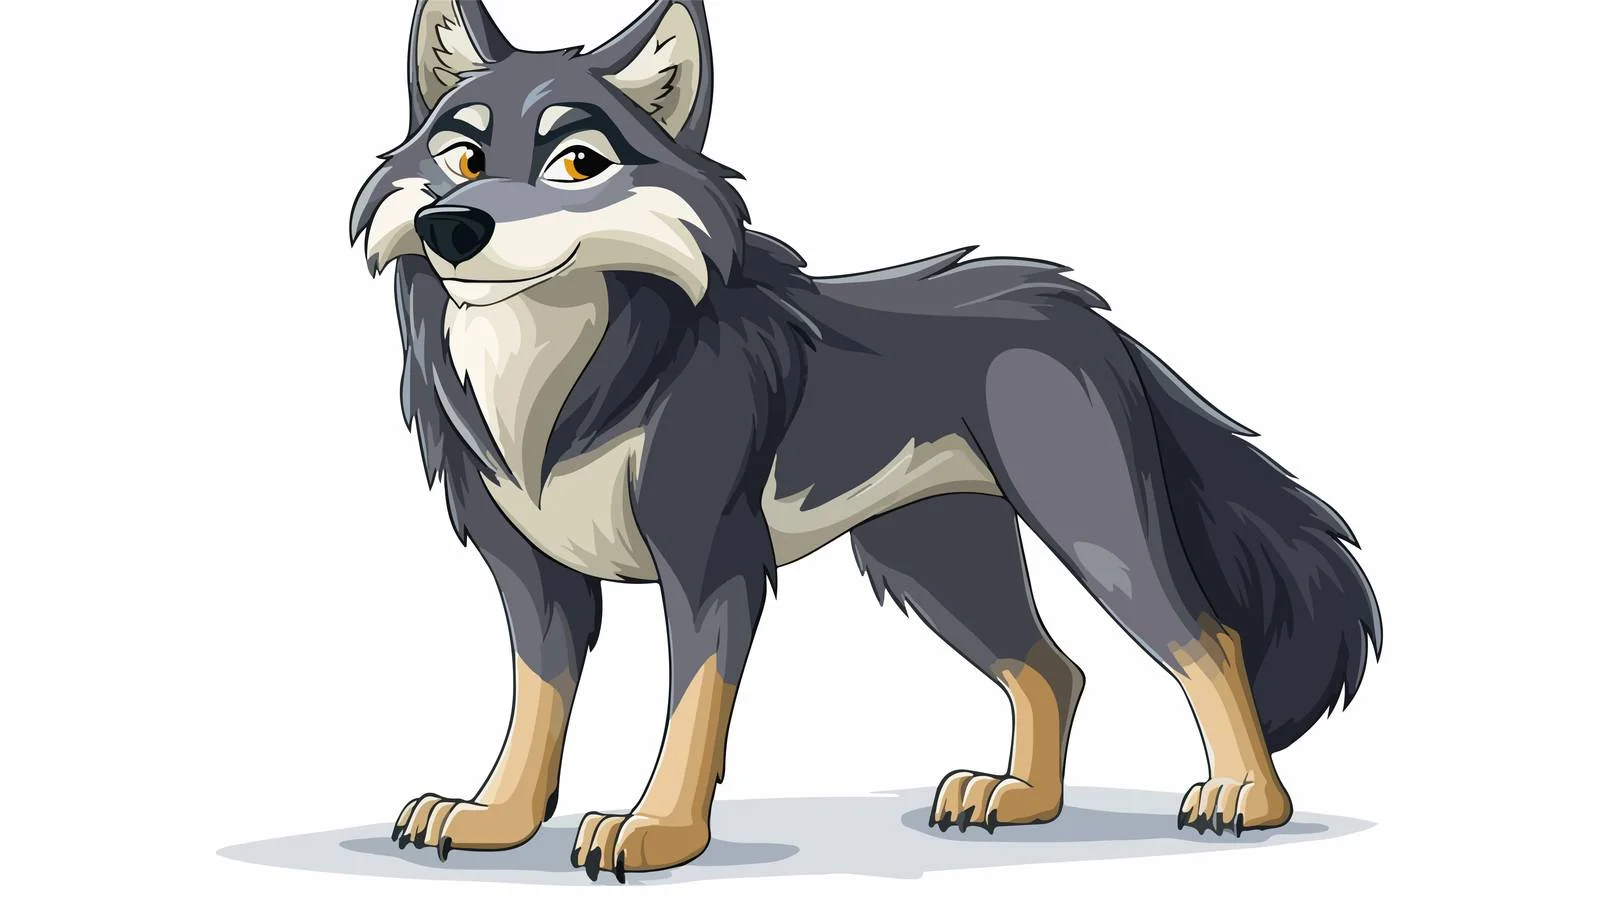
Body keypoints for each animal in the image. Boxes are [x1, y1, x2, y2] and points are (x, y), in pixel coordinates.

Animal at [349, 0, 1382, 880]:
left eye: (575, 163)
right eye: (462, 158)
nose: (454, 225)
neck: (551, 366)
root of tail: (1079, 309)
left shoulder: (709, 562)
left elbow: (689, 709)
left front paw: (657, 830)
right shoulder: (531, 573)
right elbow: (535, 708)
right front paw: (498, 817)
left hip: (1093, 537)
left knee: (1207, 639)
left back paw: (1245, 796)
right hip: (935, 563)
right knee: (1055, 668)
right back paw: (1020, 799)